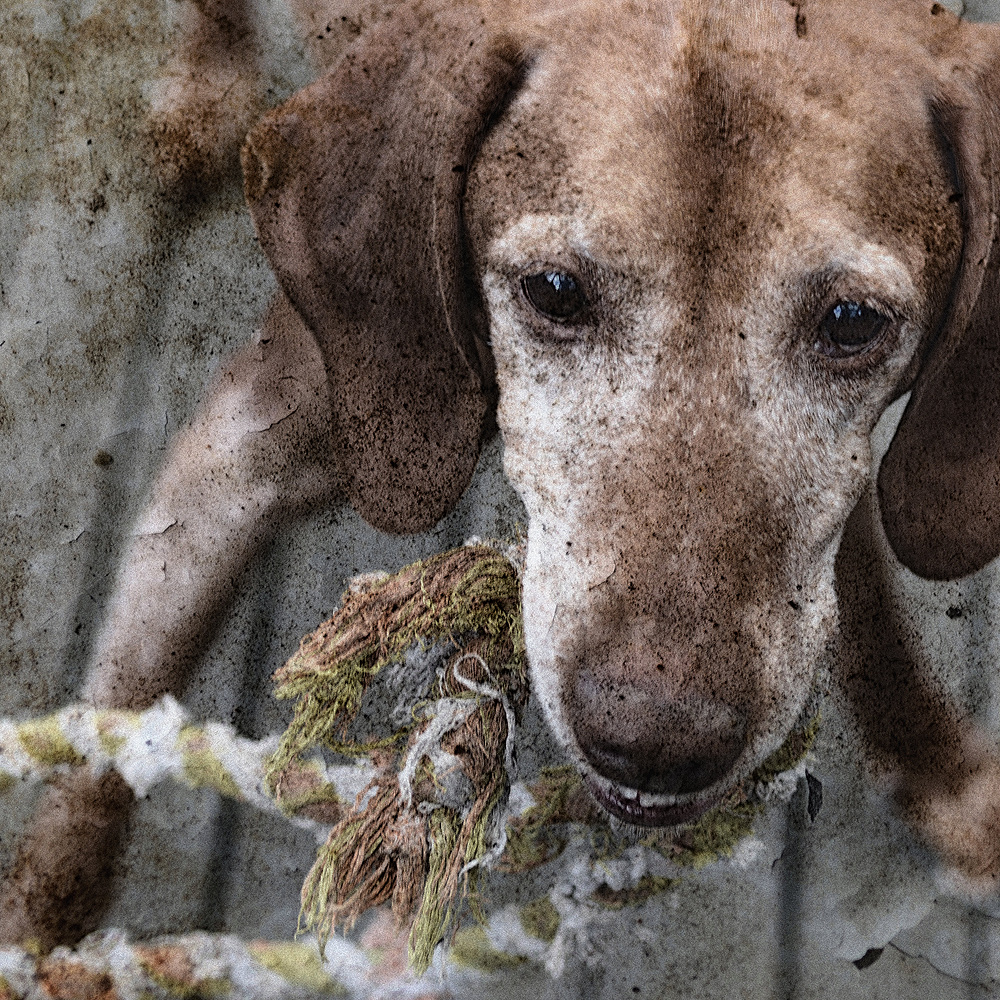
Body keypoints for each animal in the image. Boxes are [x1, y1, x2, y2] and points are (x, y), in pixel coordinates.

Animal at [5, 0, 1000, 952]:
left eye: (852, 321)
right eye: (554, 291)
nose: (655, 741)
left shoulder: (845, 477)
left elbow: (862, 601)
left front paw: (941, 775)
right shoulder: (233, 460)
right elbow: (107, 742)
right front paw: (44, 931)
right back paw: (206, 86)